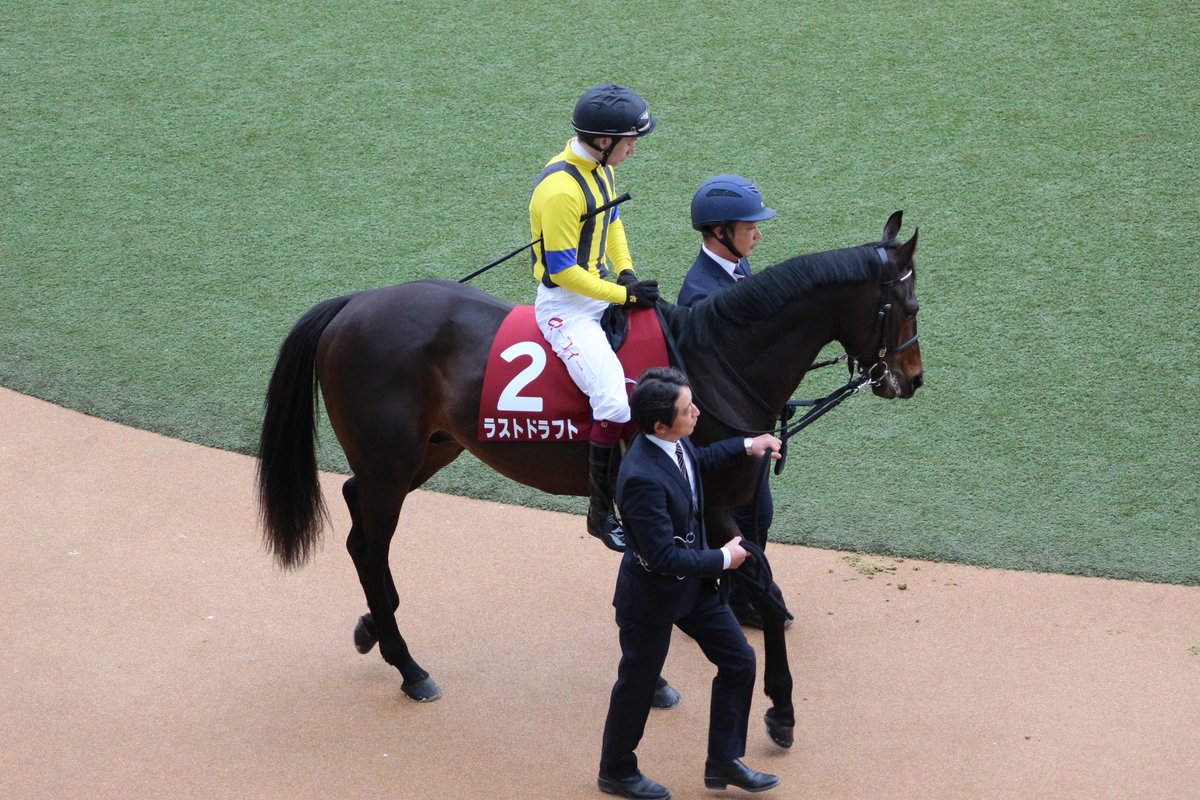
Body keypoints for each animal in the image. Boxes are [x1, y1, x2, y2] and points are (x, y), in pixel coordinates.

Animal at [256, 210, 922, 749]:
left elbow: (720, 584)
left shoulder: (711, 505)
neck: (715, 360)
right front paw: (778, 710)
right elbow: (751, 586)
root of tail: (353, 303)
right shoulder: (706, 501)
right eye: (909, 307)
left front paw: (683, 681)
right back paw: (409, 667)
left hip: (427, 451)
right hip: (391, 460)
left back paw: (375, 623)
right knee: (370, 544)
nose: (911, 379)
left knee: (356, 516)